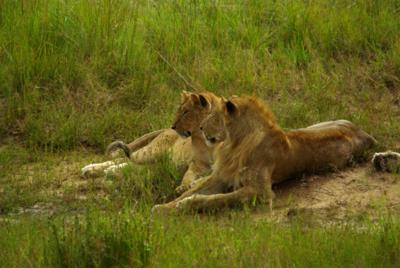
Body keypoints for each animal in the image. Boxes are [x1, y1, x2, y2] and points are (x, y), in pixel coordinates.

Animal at [79, 91, 222, 193]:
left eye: (186, 112)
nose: (173, 126)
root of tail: (164, 129)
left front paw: (191, 184)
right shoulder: (196, 163)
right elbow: (188, 175)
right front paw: (184, 186)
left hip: (159, 161)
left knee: (130, 163)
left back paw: (105, 170)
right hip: (153, 151)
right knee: (128, 158)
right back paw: (92, 169)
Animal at [152, 95, 376, 213]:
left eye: (214, 116)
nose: (199, 127)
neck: (233, 144)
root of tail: (364, 133)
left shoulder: (261, 191)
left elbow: (215, 199)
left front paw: (185, 204)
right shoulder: (221, 175)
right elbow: (193, 192)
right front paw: (163, 207)